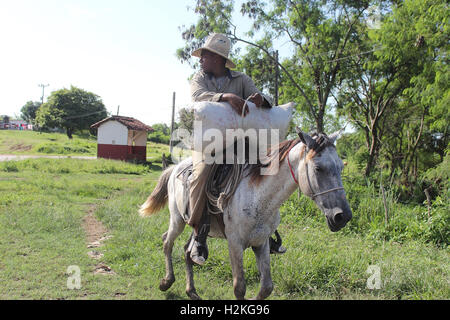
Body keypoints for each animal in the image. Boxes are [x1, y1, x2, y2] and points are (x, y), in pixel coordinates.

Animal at [140, 128, 352, 300]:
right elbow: (239, 287)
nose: (343, 216)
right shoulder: (235, 244)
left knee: (186, 250)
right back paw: (166, 282)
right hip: (177, 220)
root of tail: (174, 167)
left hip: (197, 227)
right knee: (167, 242)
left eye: (342, 167)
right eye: (318, 168)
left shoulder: (262, 243)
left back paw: (191, 290)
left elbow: (266, 287)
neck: (258, 197)